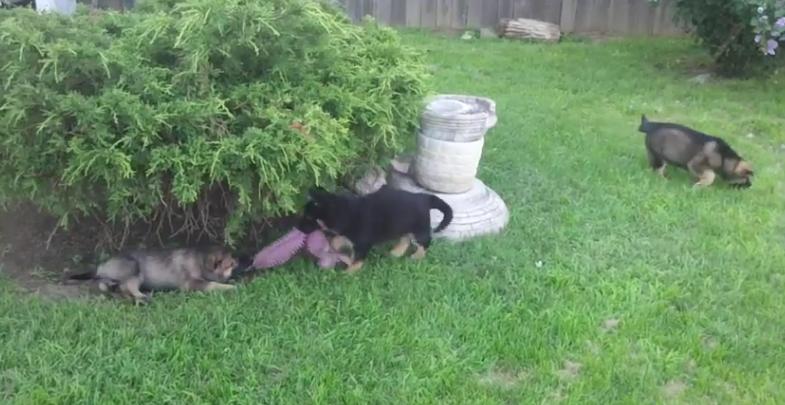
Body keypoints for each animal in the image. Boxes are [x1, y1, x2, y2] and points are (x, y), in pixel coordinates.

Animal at [300, 185, 454, 274]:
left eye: (308, 218)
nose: (297, 227)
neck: (346, 212)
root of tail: (425, 198)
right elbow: (337, 240)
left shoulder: (363, 244)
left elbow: (357, 259)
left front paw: (348, 273)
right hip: (403, 225)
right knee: (405, 239)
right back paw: (396, 253)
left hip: (419, 229)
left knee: (426, 241)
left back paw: (417, 256)